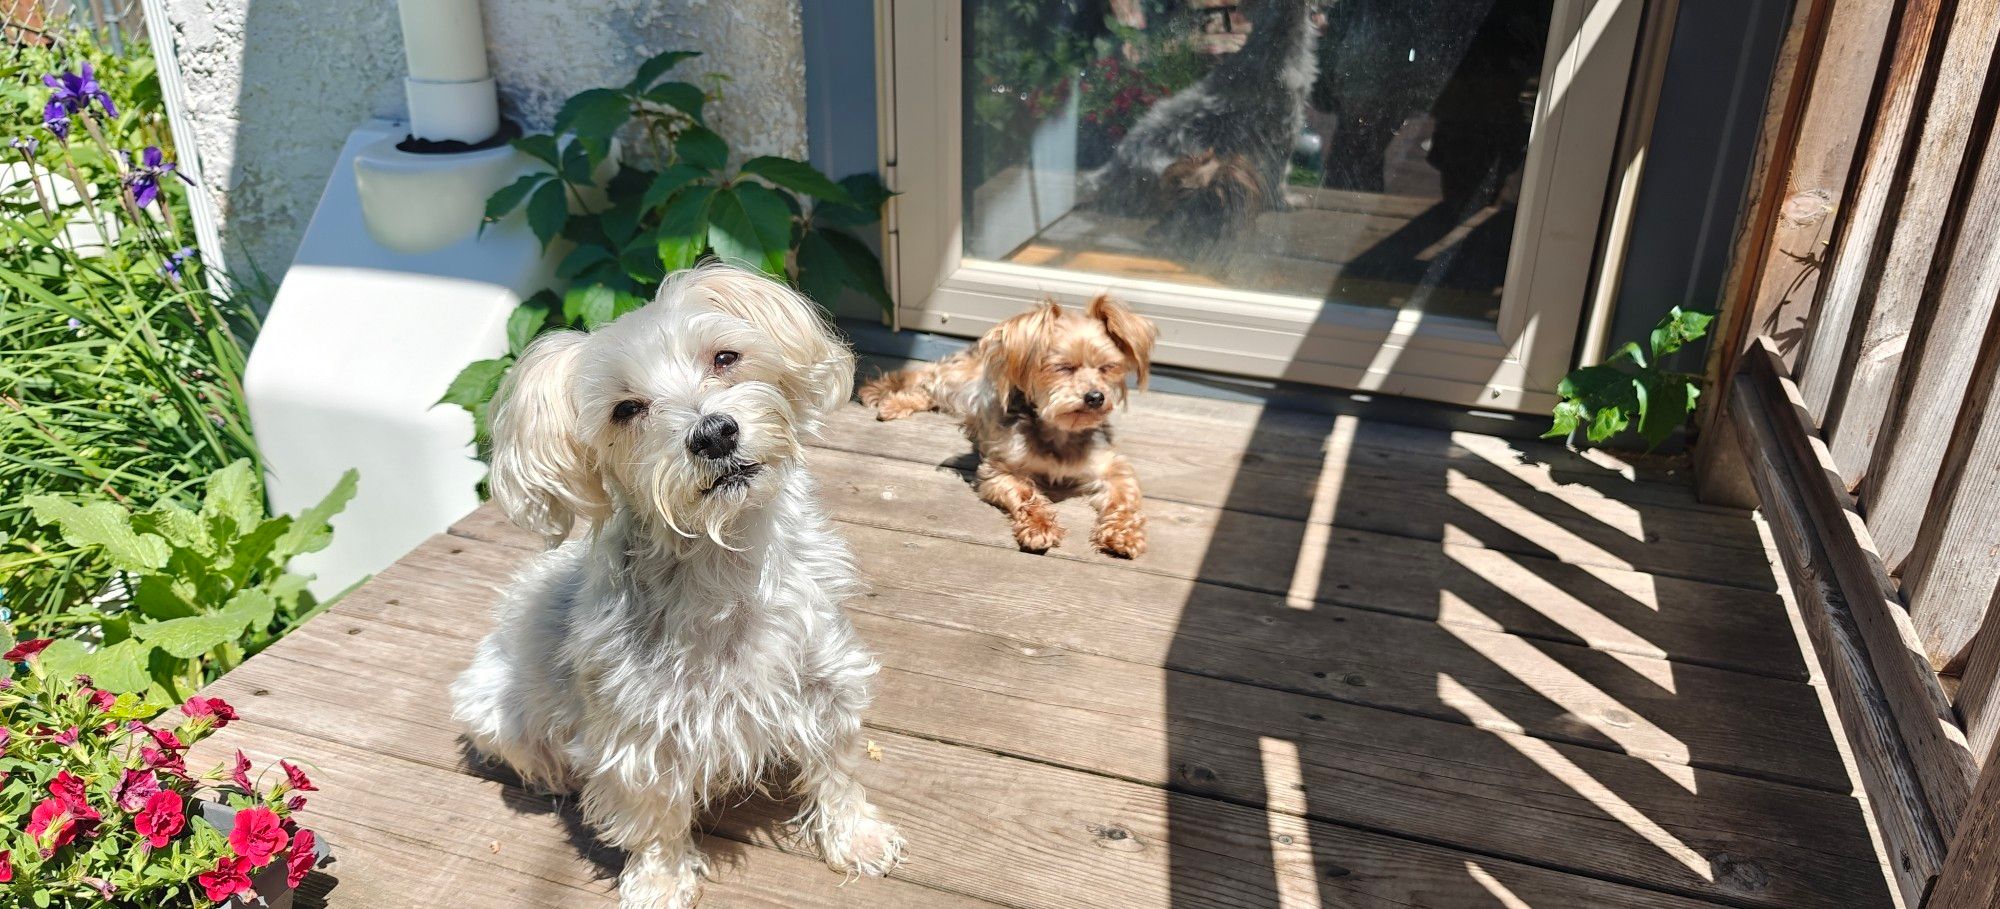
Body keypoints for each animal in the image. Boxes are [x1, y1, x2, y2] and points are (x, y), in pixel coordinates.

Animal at [454, 262, 908, 909]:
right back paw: (562, 775)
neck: (723, 563)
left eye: (724, 357)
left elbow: (837, 769)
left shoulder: (826, 680)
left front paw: (855, 835)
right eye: (626, 409)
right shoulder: (637, 734)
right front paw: (660, 882)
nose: (713, 433)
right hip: (493, 706)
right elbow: (654, 817)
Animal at [856, 294, 1160, 556]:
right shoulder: (999, 470)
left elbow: (1125, 498)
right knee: (924, 376)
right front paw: (1039, 527)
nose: (1096, 397)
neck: (1060, 431)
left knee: (928, 393)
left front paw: (1123, 535)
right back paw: (880, 393)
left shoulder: (1112, 467)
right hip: (957, 379)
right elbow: (1026, 493)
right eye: (1063, 368)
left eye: (1108, 367)